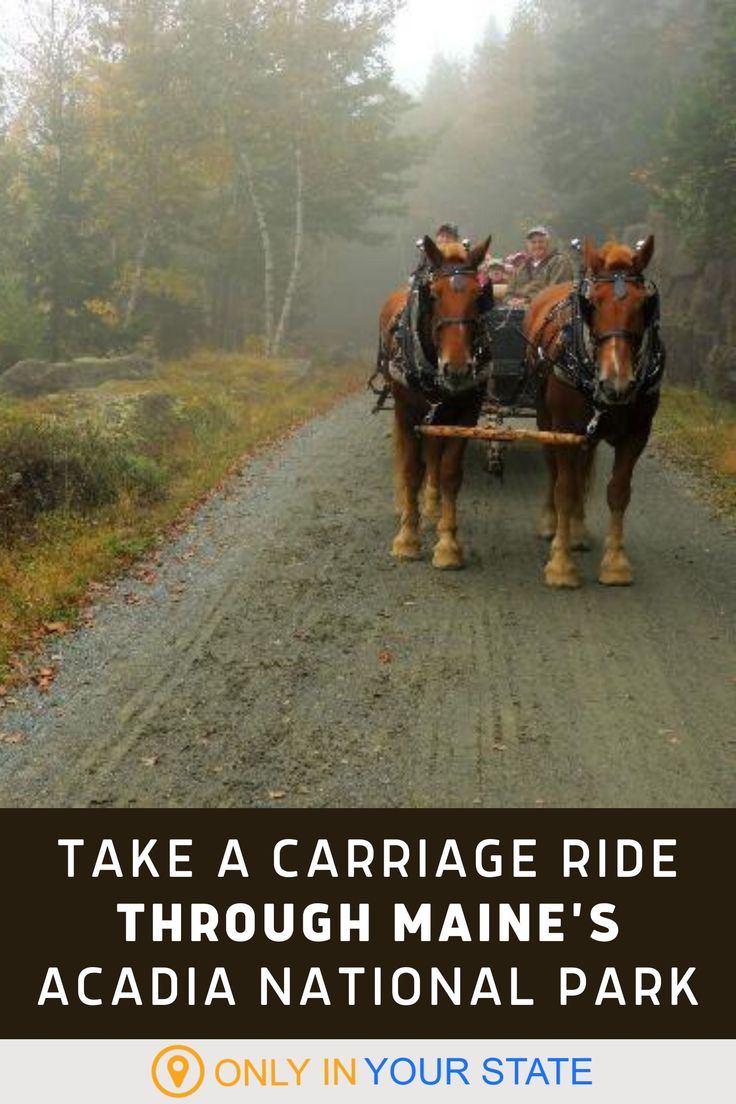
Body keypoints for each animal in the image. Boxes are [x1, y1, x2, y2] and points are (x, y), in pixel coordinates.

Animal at [379, 237, 489, 574]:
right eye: (435, 294)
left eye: (478, 294)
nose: (458, 368)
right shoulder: (407, 413)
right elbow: (412, 470)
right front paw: (407, 539)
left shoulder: (465, 415)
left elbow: (450, 473)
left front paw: (448, 545)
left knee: (435, 460)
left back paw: (432, 506)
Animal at [527, 236, 666, 587]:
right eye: (593, 304)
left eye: (643, 305)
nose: (616, 383)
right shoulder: (563, 428)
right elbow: (564, 488)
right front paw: (561, 564)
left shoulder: (637, 435)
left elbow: (617, 492)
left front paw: (615, 563)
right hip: (545, 419)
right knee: (555, 471)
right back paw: (550, 524)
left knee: (580, 470)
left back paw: (577, 530)